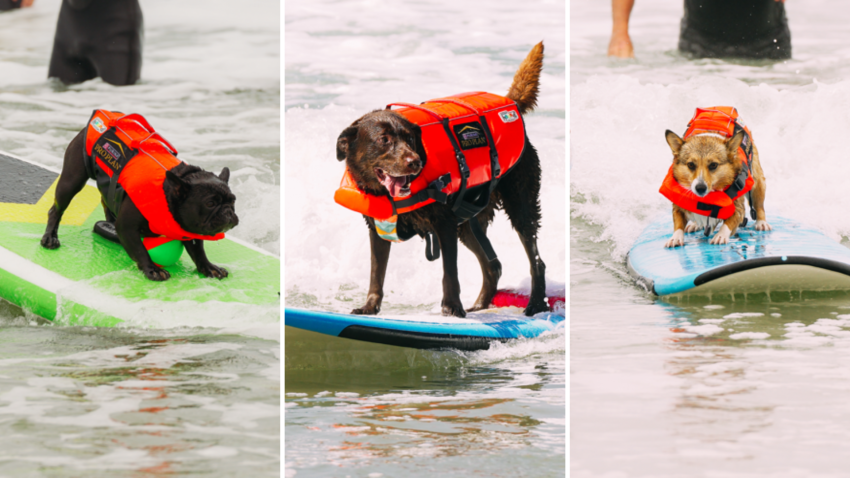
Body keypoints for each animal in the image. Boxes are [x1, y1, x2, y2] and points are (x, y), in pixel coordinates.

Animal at [41, 109, 237, 280]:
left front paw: (209, 267)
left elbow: (198, 250)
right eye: (210, 204)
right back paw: (50, 237)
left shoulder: (189, 229)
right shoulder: (126, 227)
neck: (167, 195)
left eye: (233, 202)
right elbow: (140, 250)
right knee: (56, 210)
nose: (228, 212)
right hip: (72, 180)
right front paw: (152, 269)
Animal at [334, 42, 548, 318]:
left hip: (520, 204)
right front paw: (370, 307)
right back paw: (480, 305)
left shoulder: (444, 224)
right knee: (493, 265)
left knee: (536, 260)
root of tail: (511, 103)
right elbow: (376, 274)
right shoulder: (379, 228)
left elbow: (450, 272)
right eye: (384, 140)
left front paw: (452, 308)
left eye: (410, 139)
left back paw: (535, 304)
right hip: (468, 222)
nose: (414, 162)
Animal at [660, 107, 772, 248]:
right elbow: (678, 224)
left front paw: (720, 236)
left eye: (713, 165)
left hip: (757, 183)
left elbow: (728, 223)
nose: (700, 188)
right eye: (691, 165)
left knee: (759, 206)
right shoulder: (678, 207)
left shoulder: (738, 209)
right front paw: (675, 238)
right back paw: (695, 224)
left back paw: (761, 223)